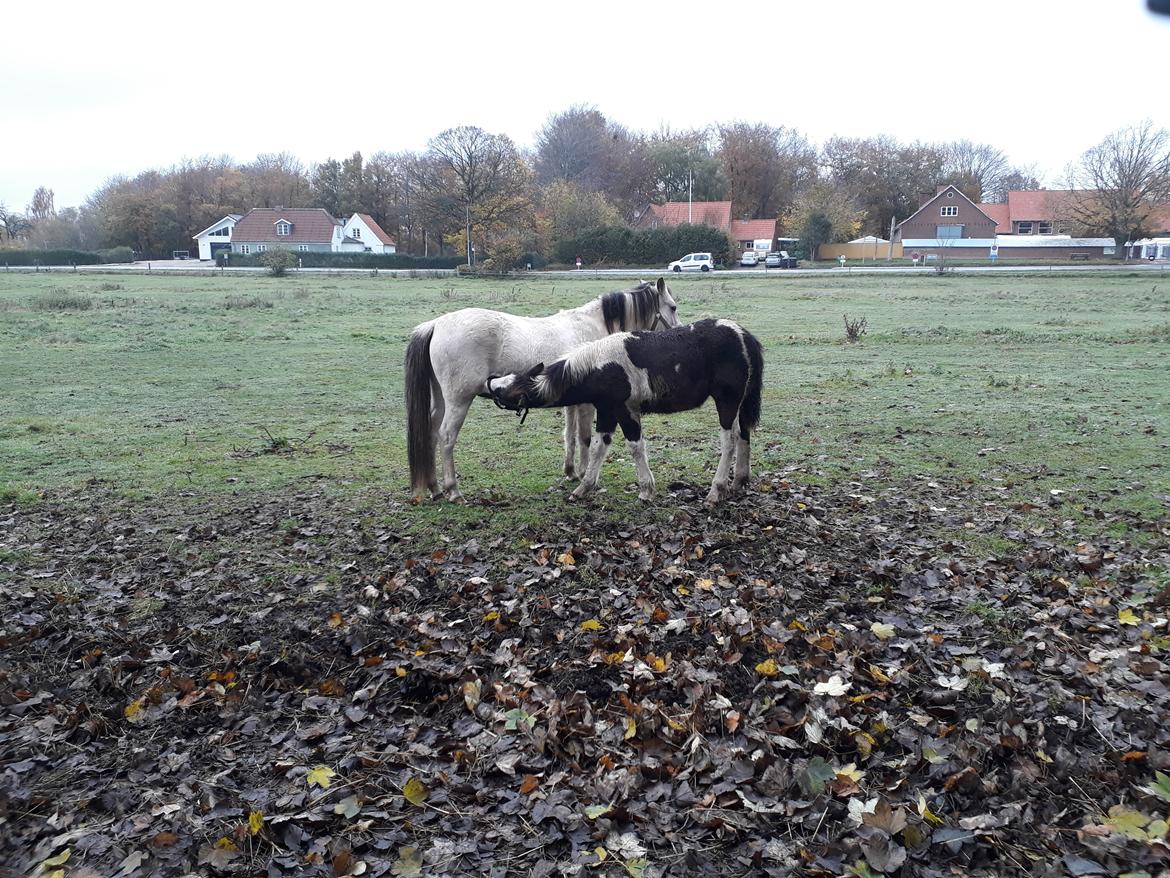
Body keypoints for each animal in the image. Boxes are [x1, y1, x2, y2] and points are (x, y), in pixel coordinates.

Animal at [404, 282, 678, 501]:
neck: (591, 328)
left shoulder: (572, 401)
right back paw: (453, 490)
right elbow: (585, 437)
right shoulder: (588, 403)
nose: (677, 335)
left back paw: (435, 487)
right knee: (446, 437)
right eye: (673, 307)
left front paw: (571, 472)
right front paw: (585, 475)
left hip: (442, 400)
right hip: (459, 401)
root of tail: (436, 324)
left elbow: (570, 435)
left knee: (431, 433)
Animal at [489, 320, 762, 505]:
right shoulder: (607, 411)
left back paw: (717, 490)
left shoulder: (625, 409)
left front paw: (646, 490)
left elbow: (635, 446)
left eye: (511, 389)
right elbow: (599, 447)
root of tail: (744, 335)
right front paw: (583, 488)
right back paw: (739, 481)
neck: (599, 366)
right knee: (744, 434)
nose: (491, 383)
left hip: (727, 401)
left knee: (729, 440)